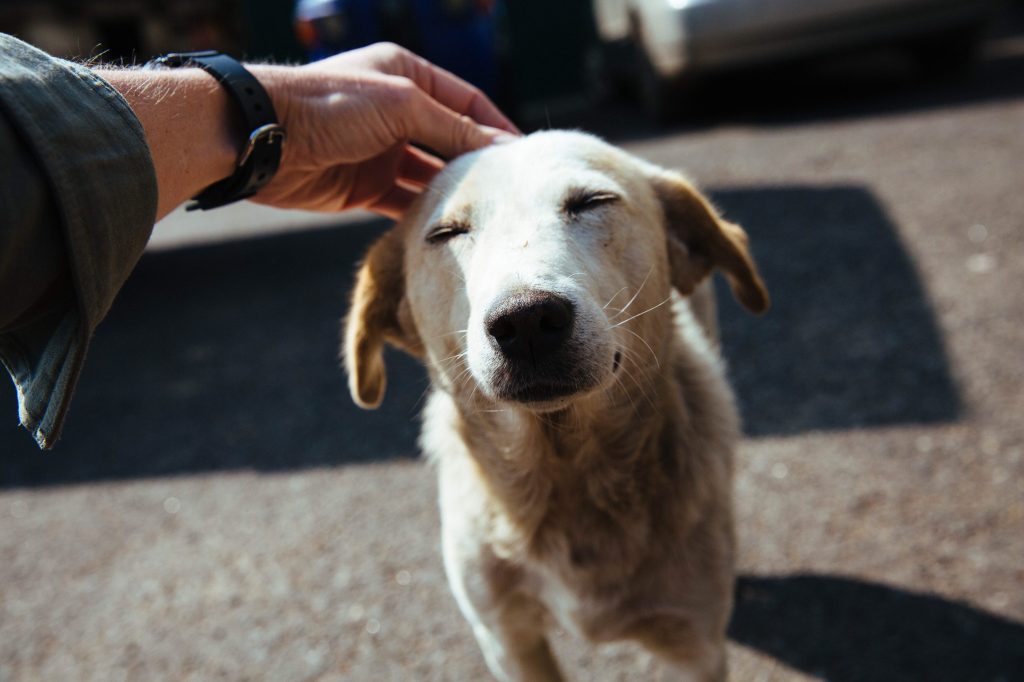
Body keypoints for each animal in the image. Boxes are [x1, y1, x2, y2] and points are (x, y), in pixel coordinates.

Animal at [344, 130, 770, 675]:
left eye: (593, 201)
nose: (525, 319)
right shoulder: (506, 640)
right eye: (445, 233)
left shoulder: (695, 646)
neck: (565, 468)